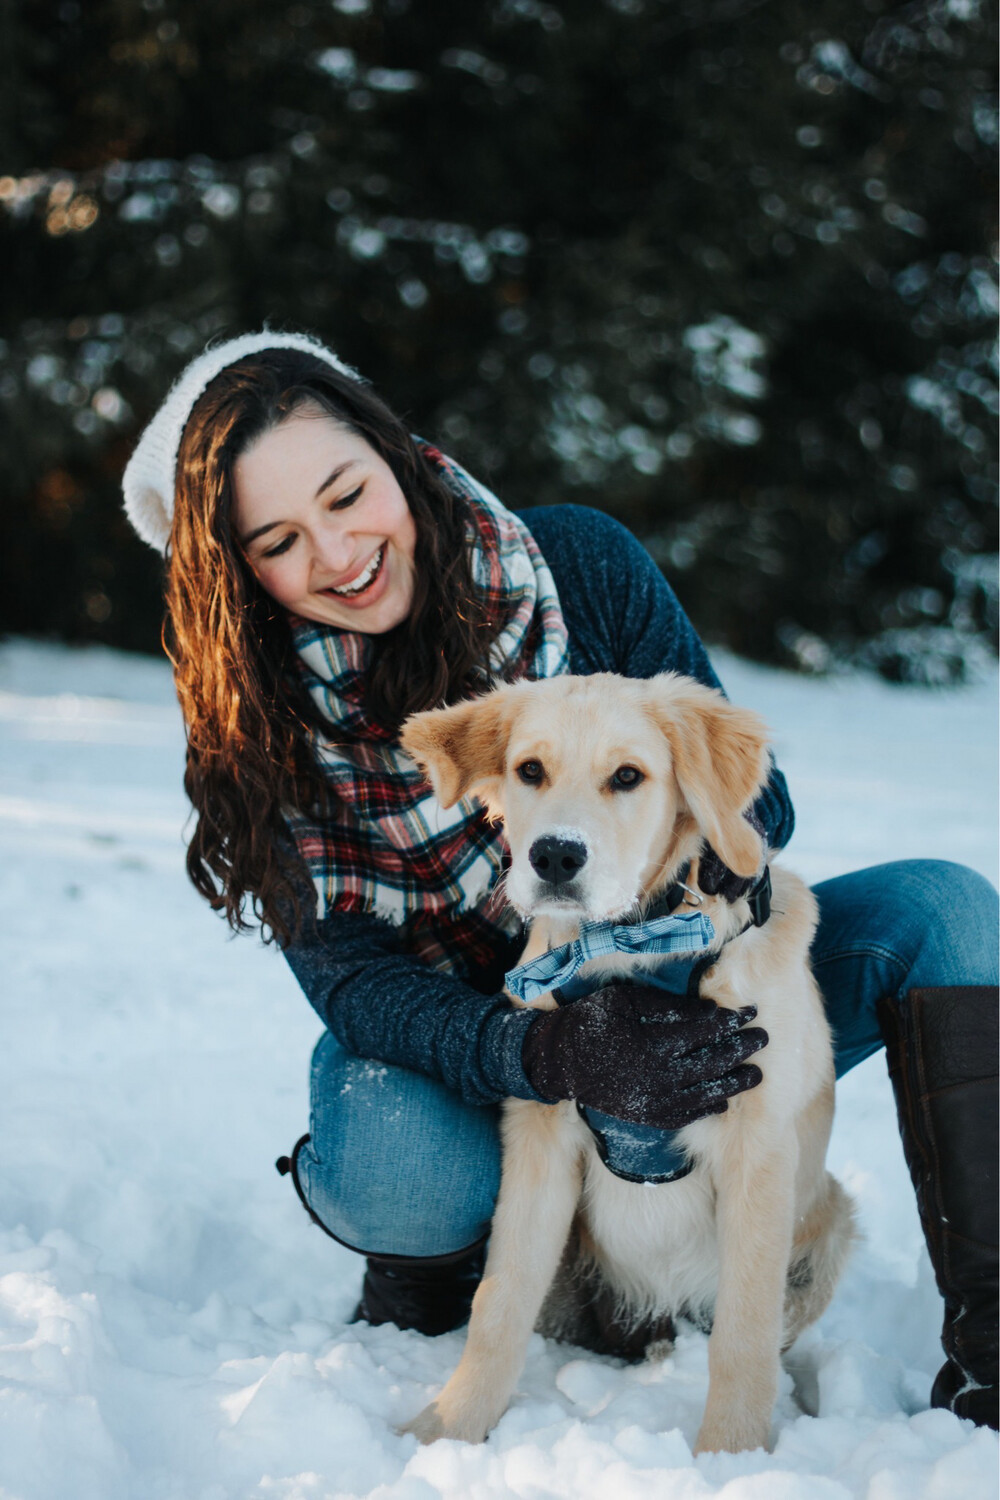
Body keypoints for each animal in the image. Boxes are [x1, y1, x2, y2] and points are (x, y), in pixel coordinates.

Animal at [395, 675, 857, 1458]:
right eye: (529, 771)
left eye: (628, 777)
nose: (554, 856)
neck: (633, 947)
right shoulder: (541, 1135)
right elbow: (499, 1300)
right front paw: (447, 1430)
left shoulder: (759, 1149)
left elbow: (745, 1332)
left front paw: (728, 1457)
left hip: (828, 1226)